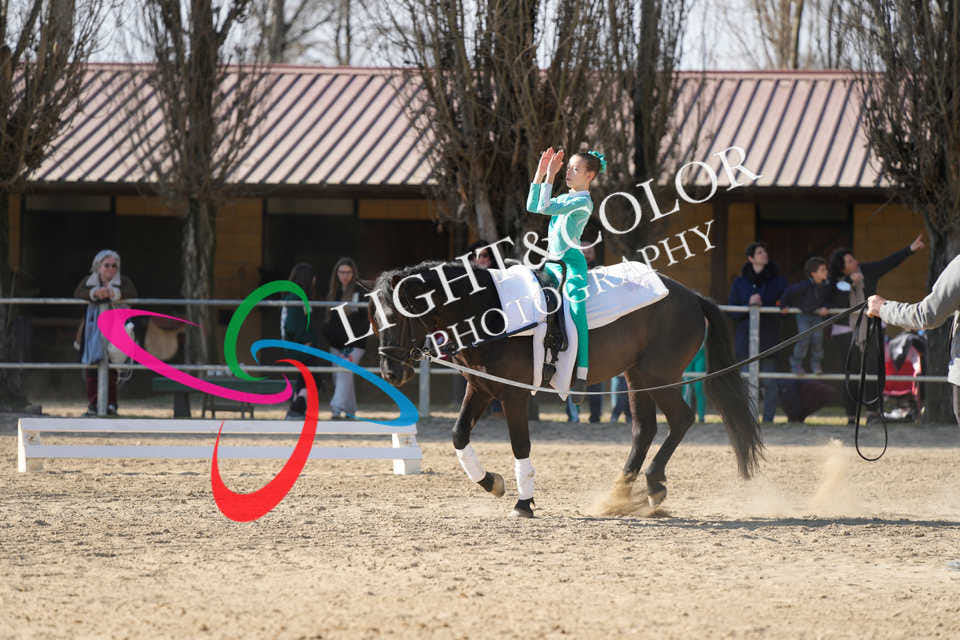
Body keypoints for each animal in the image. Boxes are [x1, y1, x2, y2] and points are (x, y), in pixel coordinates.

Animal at [370, 260, 763, 518]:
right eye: (374, 318)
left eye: (400, 315)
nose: (390, 370)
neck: (491, 310)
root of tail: (692, 296)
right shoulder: (480, 388)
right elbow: (458, 435)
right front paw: (492, 482)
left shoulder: (512, 394)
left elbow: (520, 445)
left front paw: (523, 503)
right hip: (636, 376)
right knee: (645, 429)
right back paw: (619, 495)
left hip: (658, 375)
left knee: (680, 419)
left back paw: (653, 485)